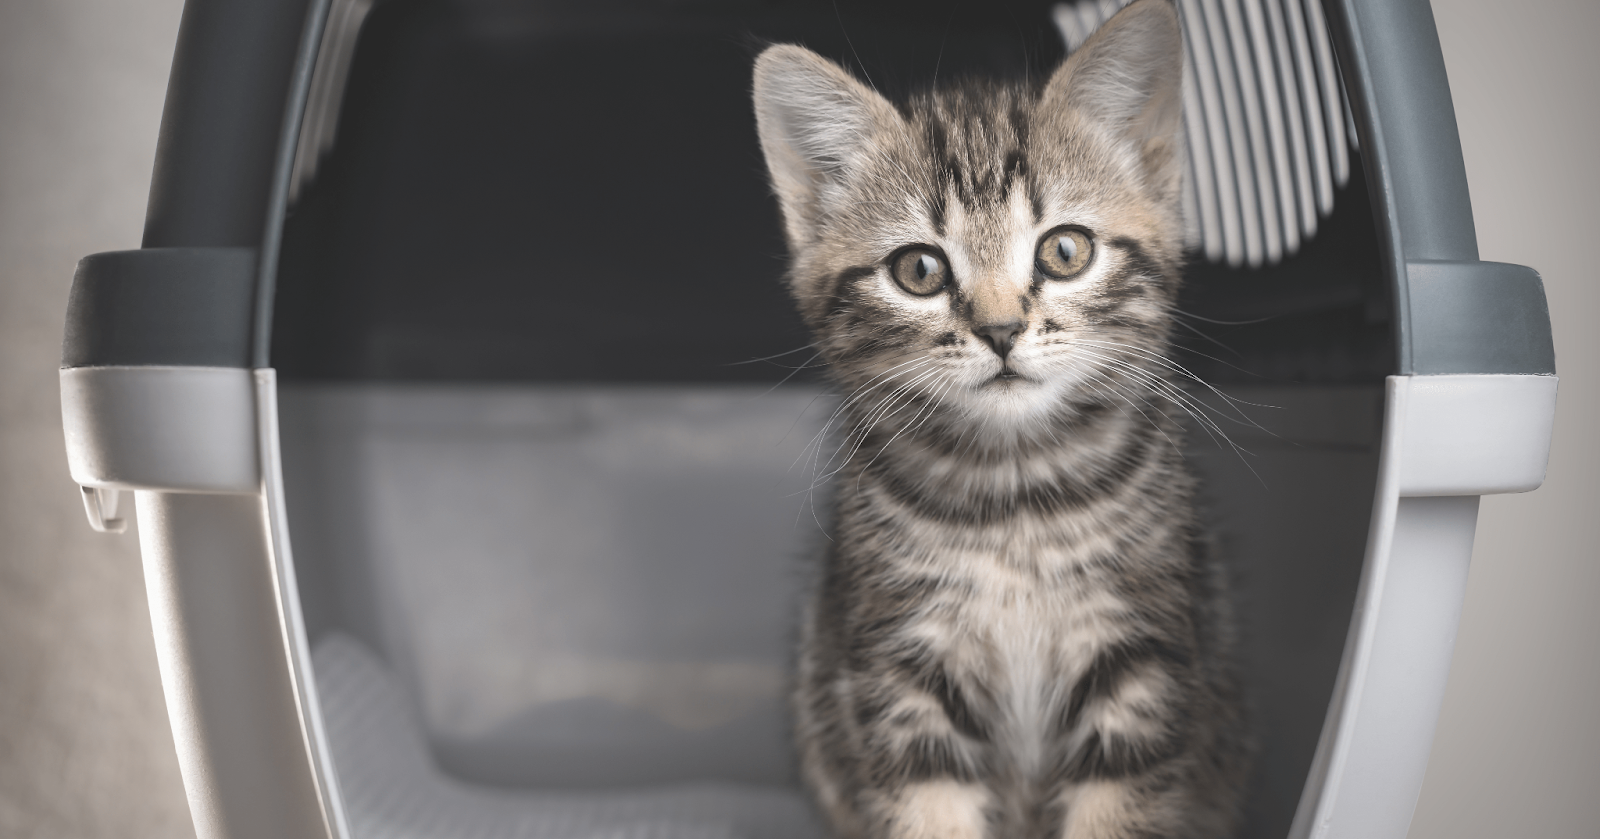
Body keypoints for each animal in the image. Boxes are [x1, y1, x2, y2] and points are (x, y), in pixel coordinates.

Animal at [748, 1, 1248, 839]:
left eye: (1066, 251)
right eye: (918, 269)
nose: (1001, 328)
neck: (1016, 500)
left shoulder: (1144, 665)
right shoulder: (898, 671)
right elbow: (928, 808)